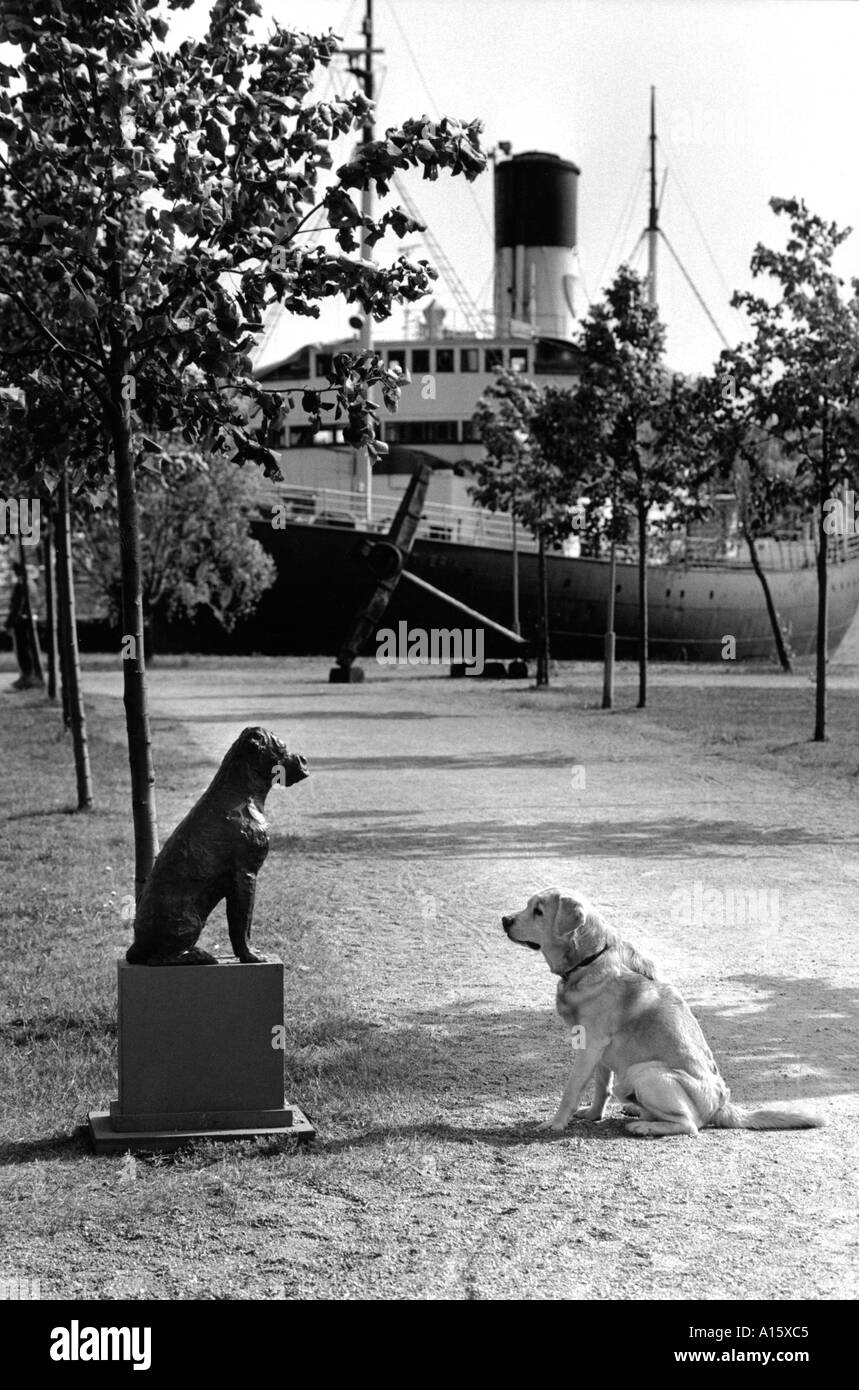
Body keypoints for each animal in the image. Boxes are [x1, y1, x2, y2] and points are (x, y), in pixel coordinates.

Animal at [500, 889, 822, 1139]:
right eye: (528, 906)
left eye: (538, 911)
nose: (505, 920)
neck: (590, 959)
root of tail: (721, 1105)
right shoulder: (599, 1052)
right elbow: (601, 1088)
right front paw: (592, 1115)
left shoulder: (589, 1046)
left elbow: (571, 1090)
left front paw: (555, 1124)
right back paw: (635, 1110)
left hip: (644, 1073)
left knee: (689, 1124)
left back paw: (643, 1126)